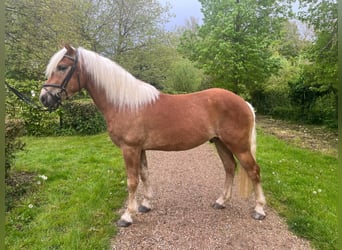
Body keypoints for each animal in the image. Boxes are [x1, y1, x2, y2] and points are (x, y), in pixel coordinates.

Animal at [40, 44, 268, 227]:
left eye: (62, 67)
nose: (44, 97)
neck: (125, 104)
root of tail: (244, 103)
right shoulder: (139, 149)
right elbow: (144, 174)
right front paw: (146, 204)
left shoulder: (130, 149)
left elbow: (132, 181)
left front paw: (127, 216)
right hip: (221, 143)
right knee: (230, 168)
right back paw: (221, 201)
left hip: (239, 145)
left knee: (254, 171)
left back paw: (259, 210)